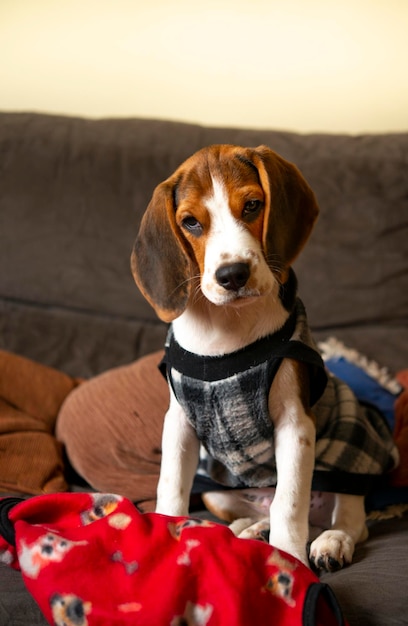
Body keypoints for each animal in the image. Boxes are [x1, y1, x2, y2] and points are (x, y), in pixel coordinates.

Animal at [131, 145, 398, 572]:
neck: (226, 332)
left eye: (253, 205)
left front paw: (289, 559)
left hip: (349, 453)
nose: (232, 274)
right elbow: (169, 489)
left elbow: (289, 504)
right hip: (216, 489)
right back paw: (250, 530)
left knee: (346, 519)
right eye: (190, 222)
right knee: (263, 510)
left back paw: (330, 542)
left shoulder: (295, 425)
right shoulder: (180, 425)